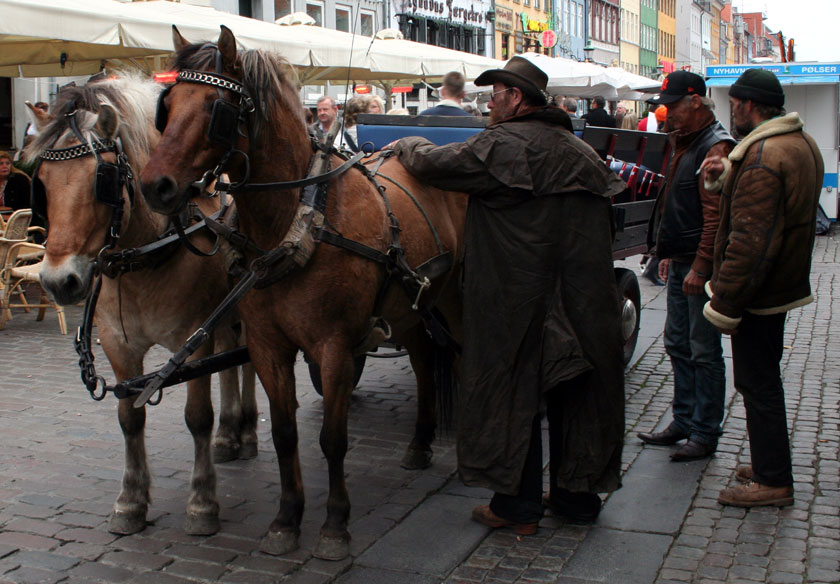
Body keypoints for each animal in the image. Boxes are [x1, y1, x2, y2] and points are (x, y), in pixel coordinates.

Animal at [26, 74, 256, 540]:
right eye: (42, 180)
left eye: (104, 178)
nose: (58, 281)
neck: (148, 254)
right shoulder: (118, 343)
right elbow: (128, 419)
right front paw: (131, 500)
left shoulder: (192, 339)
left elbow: (197, 416)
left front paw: (202, 503)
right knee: (231, 363)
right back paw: (230, 434)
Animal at [139, 27, 466, 560]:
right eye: (167, 106)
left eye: (216, 108)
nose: (154, 186)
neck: (295, 223)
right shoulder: (268, 346)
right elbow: (285, 433)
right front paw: (287, 519)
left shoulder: (333, 347)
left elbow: (333, 438)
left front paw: (334, 525)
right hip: (411, 307)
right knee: (422, 363)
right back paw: (419, 443)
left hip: (455, 299)